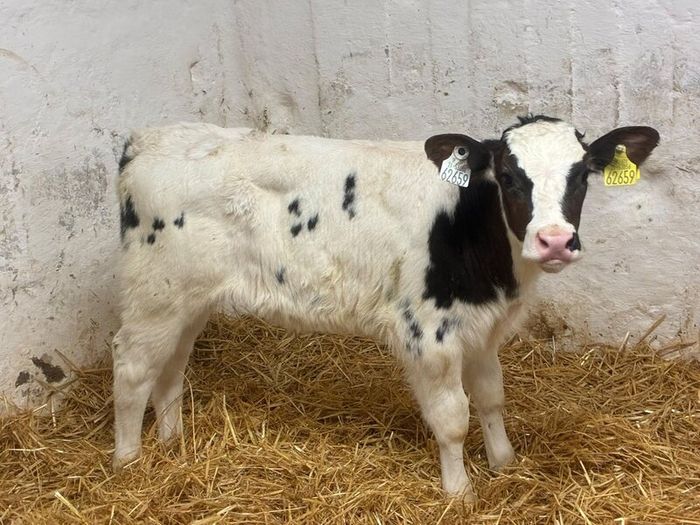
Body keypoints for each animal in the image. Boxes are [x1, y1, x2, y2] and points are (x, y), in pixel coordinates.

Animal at [112, 115, 659, 498]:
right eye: (508, 175)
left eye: (582, 174)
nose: (554, 241)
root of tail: (147, 139)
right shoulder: (429, 333)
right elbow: (453, 417)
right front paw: (459, 493)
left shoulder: (483, 330)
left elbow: (491, 397)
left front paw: (504, 462)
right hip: (154, 293)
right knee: (132, 367)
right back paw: (128, 462)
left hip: (188, 299)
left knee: (171, 368)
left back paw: (172, 444)